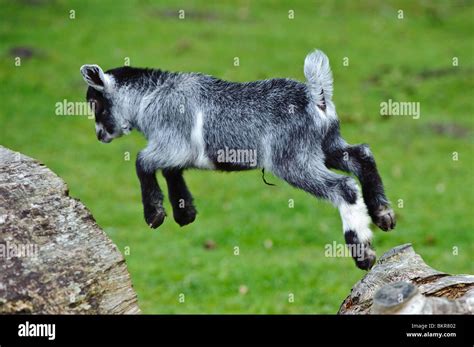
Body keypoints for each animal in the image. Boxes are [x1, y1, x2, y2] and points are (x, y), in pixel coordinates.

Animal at [80, 50, 396, 270]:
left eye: (95, 103)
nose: (99, 135)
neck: (150, 97)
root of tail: (316, 94)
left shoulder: (170, 143)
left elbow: (142, 161)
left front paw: (155, 214)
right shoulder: (175, 152)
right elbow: (171, 172)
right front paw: (185, 213)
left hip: (293, 159)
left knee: (344, 187)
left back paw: (363, 252)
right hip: (327, 145)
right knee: (362, 155)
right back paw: (383, 214)